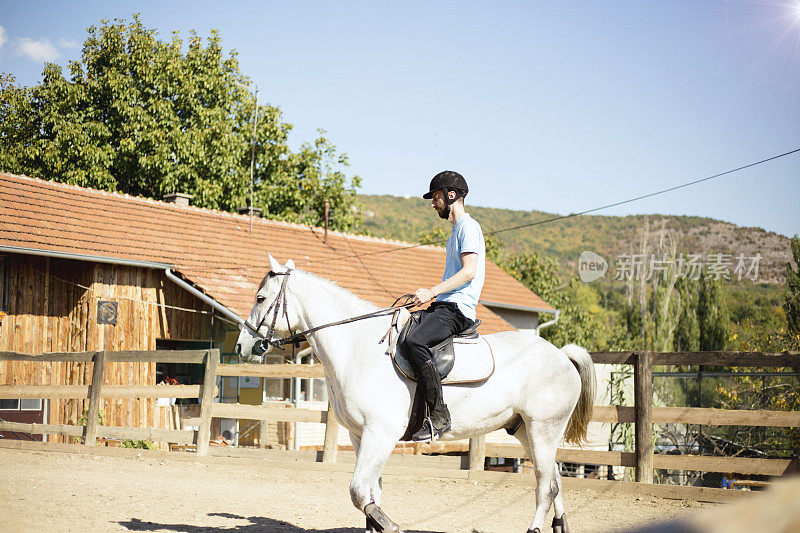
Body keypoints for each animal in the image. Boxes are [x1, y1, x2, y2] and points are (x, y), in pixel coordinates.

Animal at [234, 255, 596, 532]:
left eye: (261, 299)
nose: (242, 346)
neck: (358, 347)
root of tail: (561, 354)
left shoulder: (380, 434)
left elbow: (358, 492)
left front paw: (390, 525)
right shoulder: (359, 435)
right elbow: (371, 492)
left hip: (542, 429)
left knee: (546, 485)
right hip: (525, 431)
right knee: (555, 480)